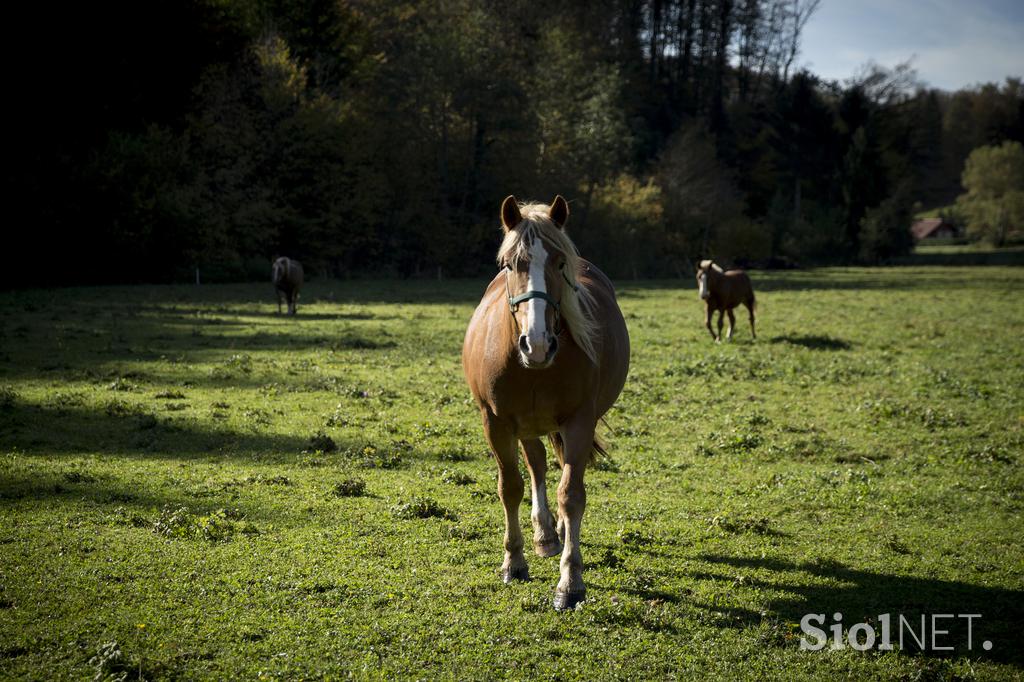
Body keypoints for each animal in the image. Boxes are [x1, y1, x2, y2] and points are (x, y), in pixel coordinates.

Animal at [466, 193, 630, 606]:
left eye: (559, 263)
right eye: (511, 264)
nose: (537, 344)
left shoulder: (579, 422)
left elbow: (570, 495)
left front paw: (570, 582)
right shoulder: (497, 422)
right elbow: (510, 487)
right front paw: (513, 563)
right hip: (525, 425)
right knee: (536, 466)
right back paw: (543, 535)